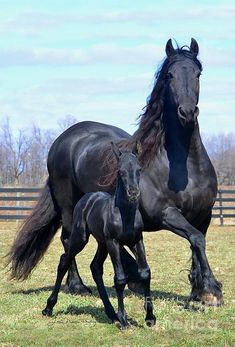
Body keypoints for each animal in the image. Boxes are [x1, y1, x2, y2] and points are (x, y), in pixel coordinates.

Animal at [42, 143, 156, 328]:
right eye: (120, 171)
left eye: (139, 169)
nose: (133, 193)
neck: (125, 215)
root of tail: (86, 198)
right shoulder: (114, 242)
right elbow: (120, 278)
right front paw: (124, 320)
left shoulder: (137, 240)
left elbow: (145, 272)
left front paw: (150, 317)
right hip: (82, 238)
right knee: (64, 261)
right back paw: (48, 308)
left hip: (102, 243)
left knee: (95, 267)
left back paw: (111, 314)